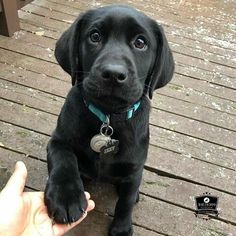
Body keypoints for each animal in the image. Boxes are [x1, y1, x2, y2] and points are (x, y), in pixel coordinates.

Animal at [44, 4, 173, 235]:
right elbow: (64, 160)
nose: (113, 73)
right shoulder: (57, 141)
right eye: (94, 36)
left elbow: (126, 202)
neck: (109, 118)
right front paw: (66, 198)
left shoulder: (134, 167)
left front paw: (121, 228)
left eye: (140, 42)